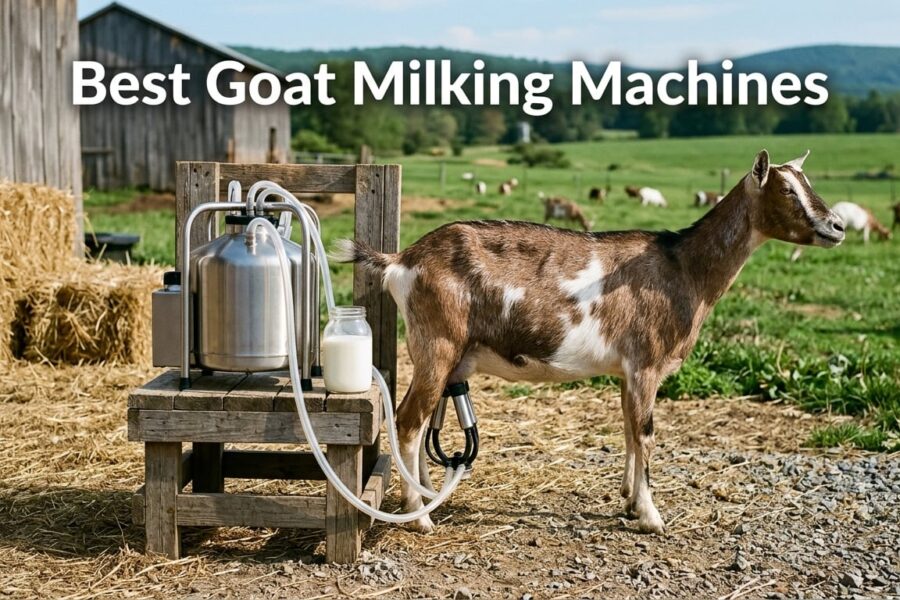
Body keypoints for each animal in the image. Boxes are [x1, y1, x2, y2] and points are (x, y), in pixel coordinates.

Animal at [337, 149, 844, 535]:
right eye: (786, 190)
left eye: (807, 182)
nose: (838, 225)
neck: (683, 268)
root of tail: (402, 260)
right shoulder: (646, 363)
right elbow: (646, 432)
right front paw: (651, 517)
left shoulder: (628, 372)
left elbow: (628, 428)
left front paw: (628, 500)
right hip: (436, 343)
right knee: (408, 422)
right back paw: (419, 518)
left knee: (419, 421)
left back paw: (427, 499)